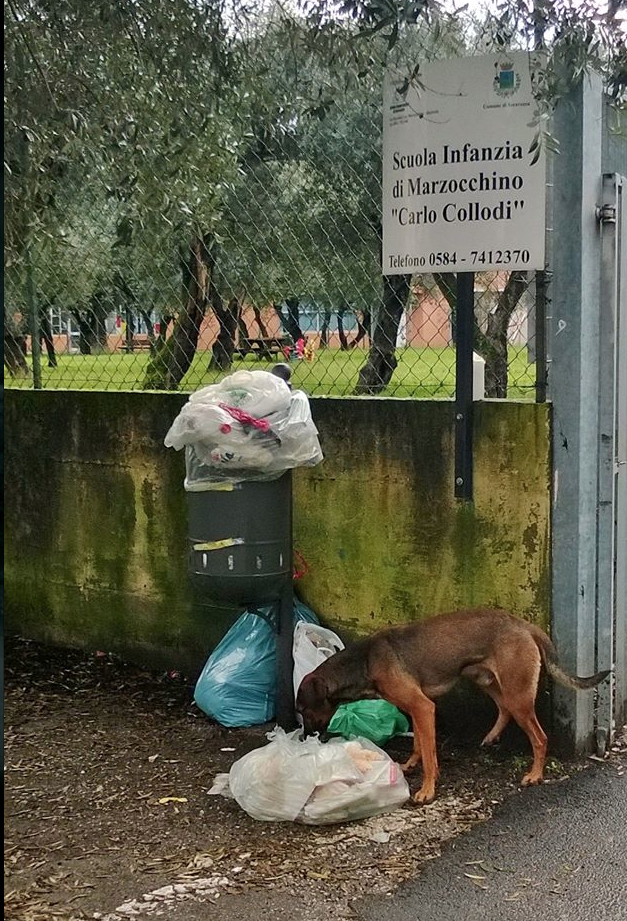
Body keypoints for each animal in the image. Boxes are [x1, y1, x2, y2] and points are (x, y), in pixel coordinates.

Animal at [296, 608, 612, 800]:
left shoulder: (423, 707)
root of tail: (524, 625)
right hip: (486, 680)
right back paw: (492, 736)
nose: (305, 737)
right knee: (504, 709)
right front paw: (411, 763)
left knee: (539, 737)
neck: (364, 661)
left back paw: (534, 774)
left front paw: (427, 789)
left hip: (518, 694)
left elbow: (430, 753)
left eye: (303, 710)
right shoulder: (418, 709)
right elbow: (419, 744)